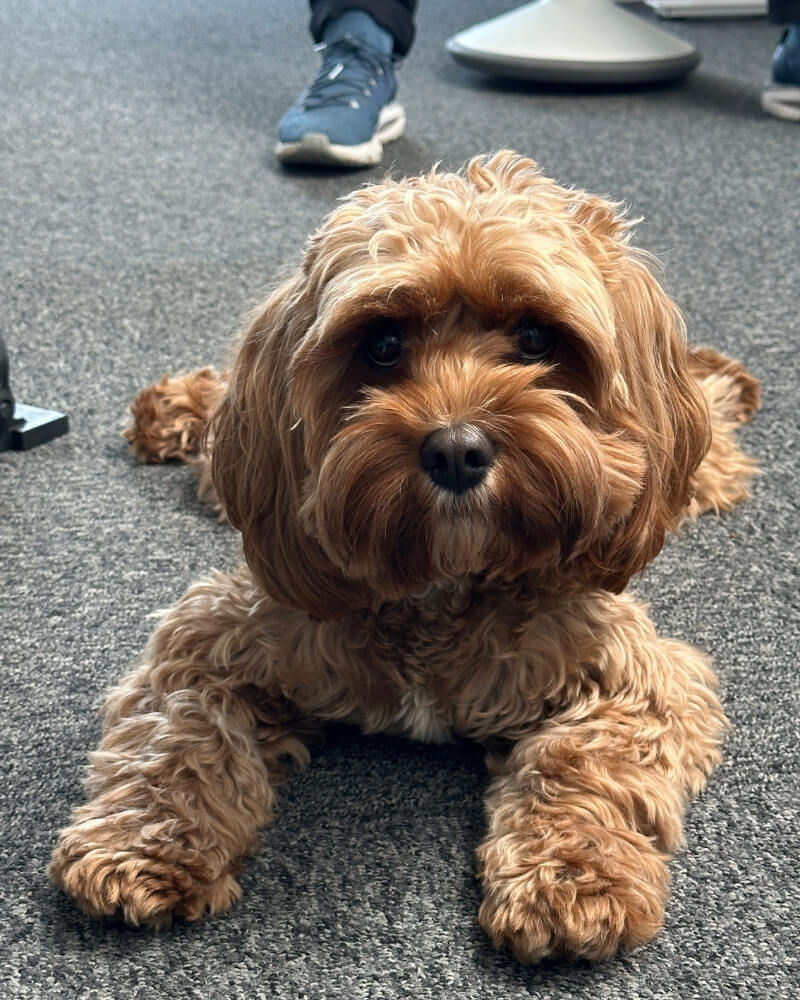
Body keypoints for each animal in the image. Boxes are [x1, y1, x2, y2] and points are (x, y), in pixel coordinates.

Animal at [50, 152, 760, 963]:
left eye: (536, 338)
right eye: (383, 344)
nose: (457, 449)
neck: (441, 584)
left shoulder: (637, 673)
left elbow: (585, 759)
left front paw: (572, 881)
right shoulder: (222, 632)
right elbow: (178, 735)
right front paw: (144, 842)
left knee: (712, 423)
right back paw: (168, 407)